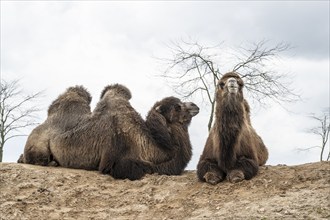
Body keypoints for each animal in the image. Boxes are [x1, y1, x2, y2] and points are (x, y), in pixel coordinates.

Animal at [20, 83, 199, 180]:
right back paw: (51, 162)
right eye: (177, 107)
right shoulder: (116, 159)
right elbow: (144, 168)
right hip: (38, 143)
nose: (194, 105)